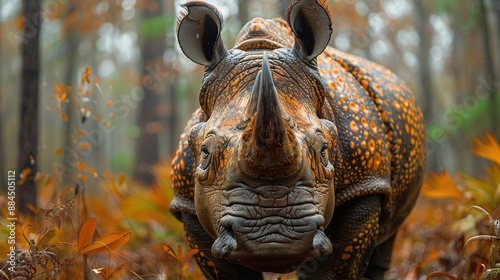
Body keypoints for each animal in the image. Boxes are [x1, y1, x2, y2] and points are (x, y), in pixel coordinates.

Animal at [169, 1, 426, 278]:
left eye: (324, 151)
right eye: (205, 153)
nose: (274, 236)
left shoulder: (366, 182)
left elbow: (334, 269)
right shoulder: (186, 202)